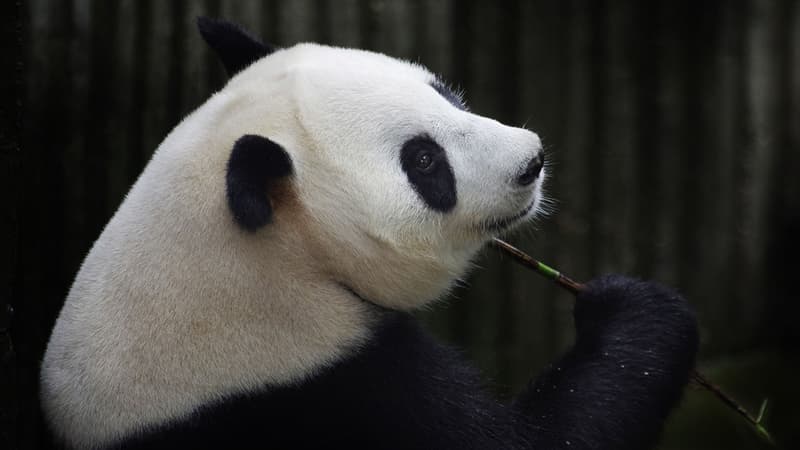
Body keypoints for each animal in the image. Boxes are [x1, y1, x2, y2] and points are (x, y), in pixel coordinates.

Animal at [40, 18, 696, 450]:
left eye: (445, 93)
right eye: (424, 162)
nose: (531, 162)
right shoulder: (321, 386)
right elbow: (533, 441)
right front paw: (636, 308)